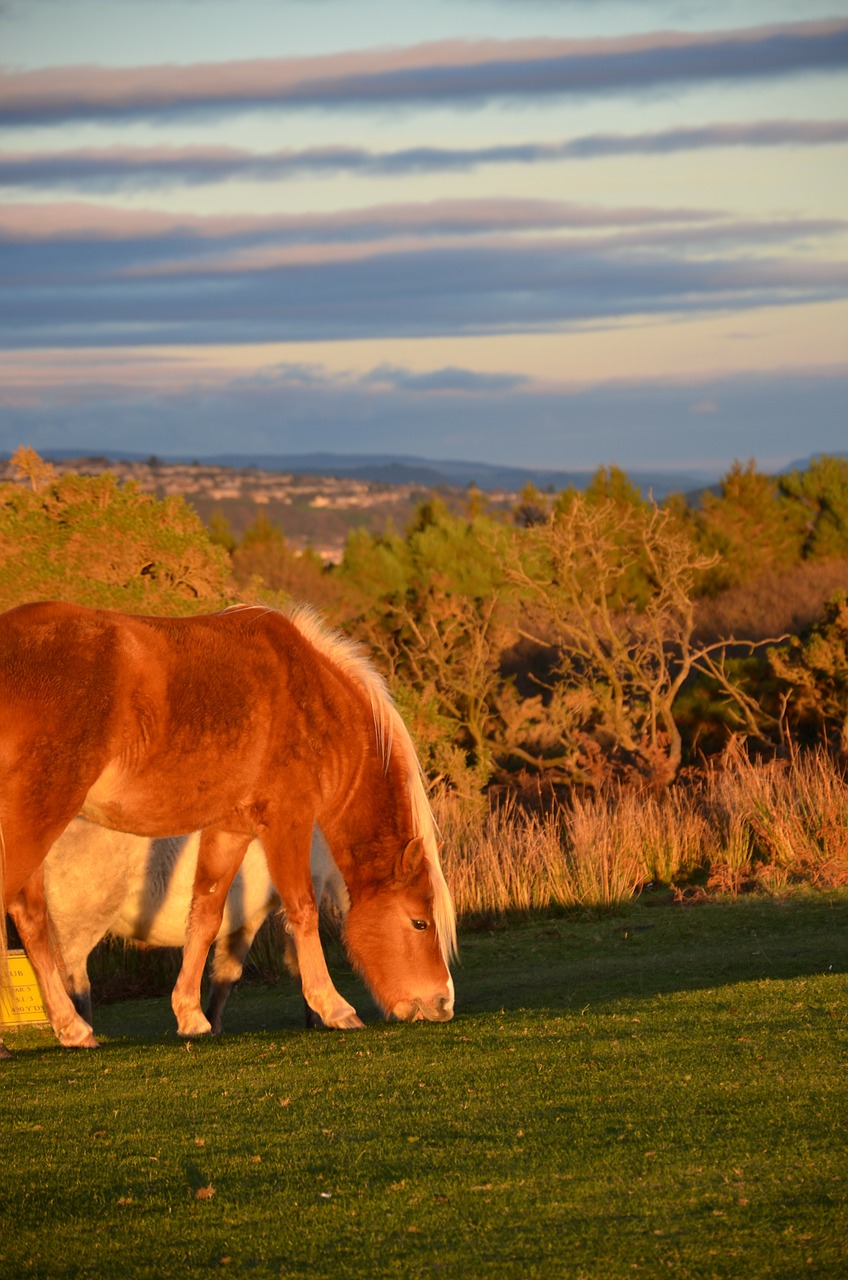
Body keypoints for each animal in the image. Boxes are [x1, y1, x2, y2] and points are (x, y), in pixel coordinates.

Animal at [41, 819, 348, 1039]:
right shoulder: (308, 884)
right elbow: (302, 955)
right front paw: (326, 1014)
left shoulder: (247, 917)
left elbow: (227, 973)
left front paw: (210, 1023)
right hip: (81, 918)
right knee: (66, 971)